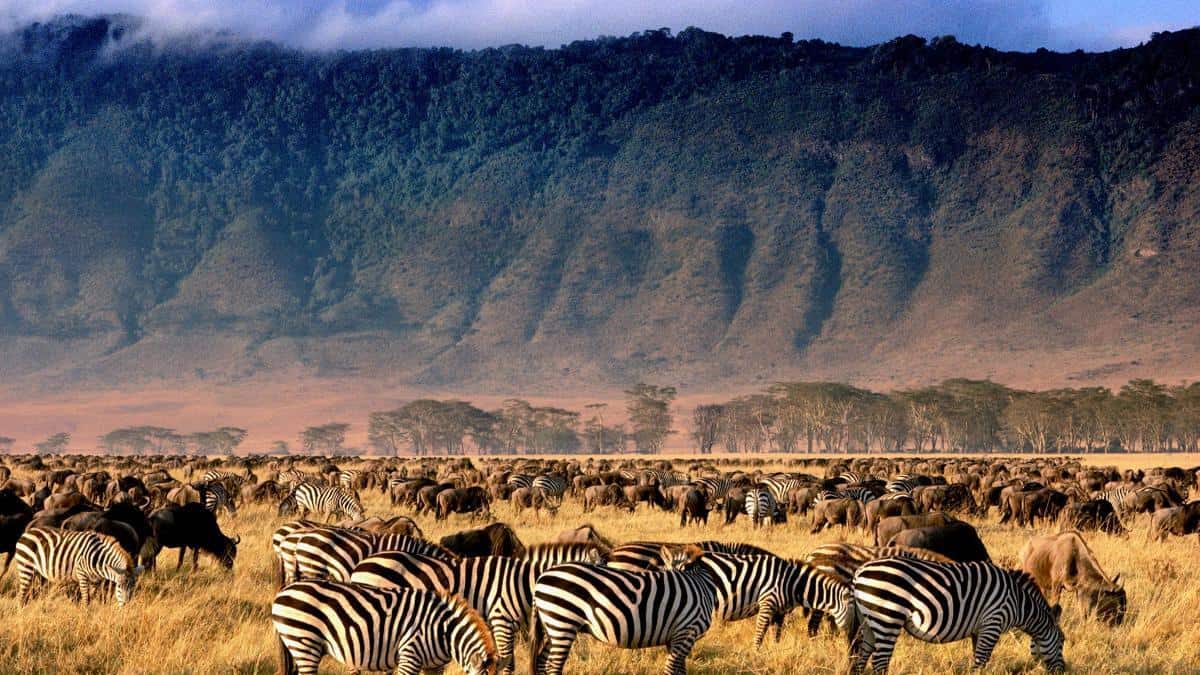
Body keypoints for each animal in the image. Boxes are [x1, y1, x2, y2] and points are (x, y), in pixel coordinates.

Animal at [530, 540, 715, 672]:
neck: (704, 585)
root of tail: (542, 576)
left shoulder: (677, 635)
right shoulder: (687, 632)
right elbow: (673, 669)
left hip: (554, 627)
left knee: (542, 661)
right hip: (562, 623)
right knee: (553, 666)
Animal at [849, 554, 1065, 667]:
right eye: (1062, 641)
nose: (1063, 670)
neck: (1019, 602)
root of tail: (860, 570)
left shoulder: (980, 629)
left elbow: (979, 659)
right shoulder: (993, 622)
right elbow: (980, 661)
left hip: (869, 621)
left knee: (862, 657)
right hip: (887, 618)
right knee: (879, 662)